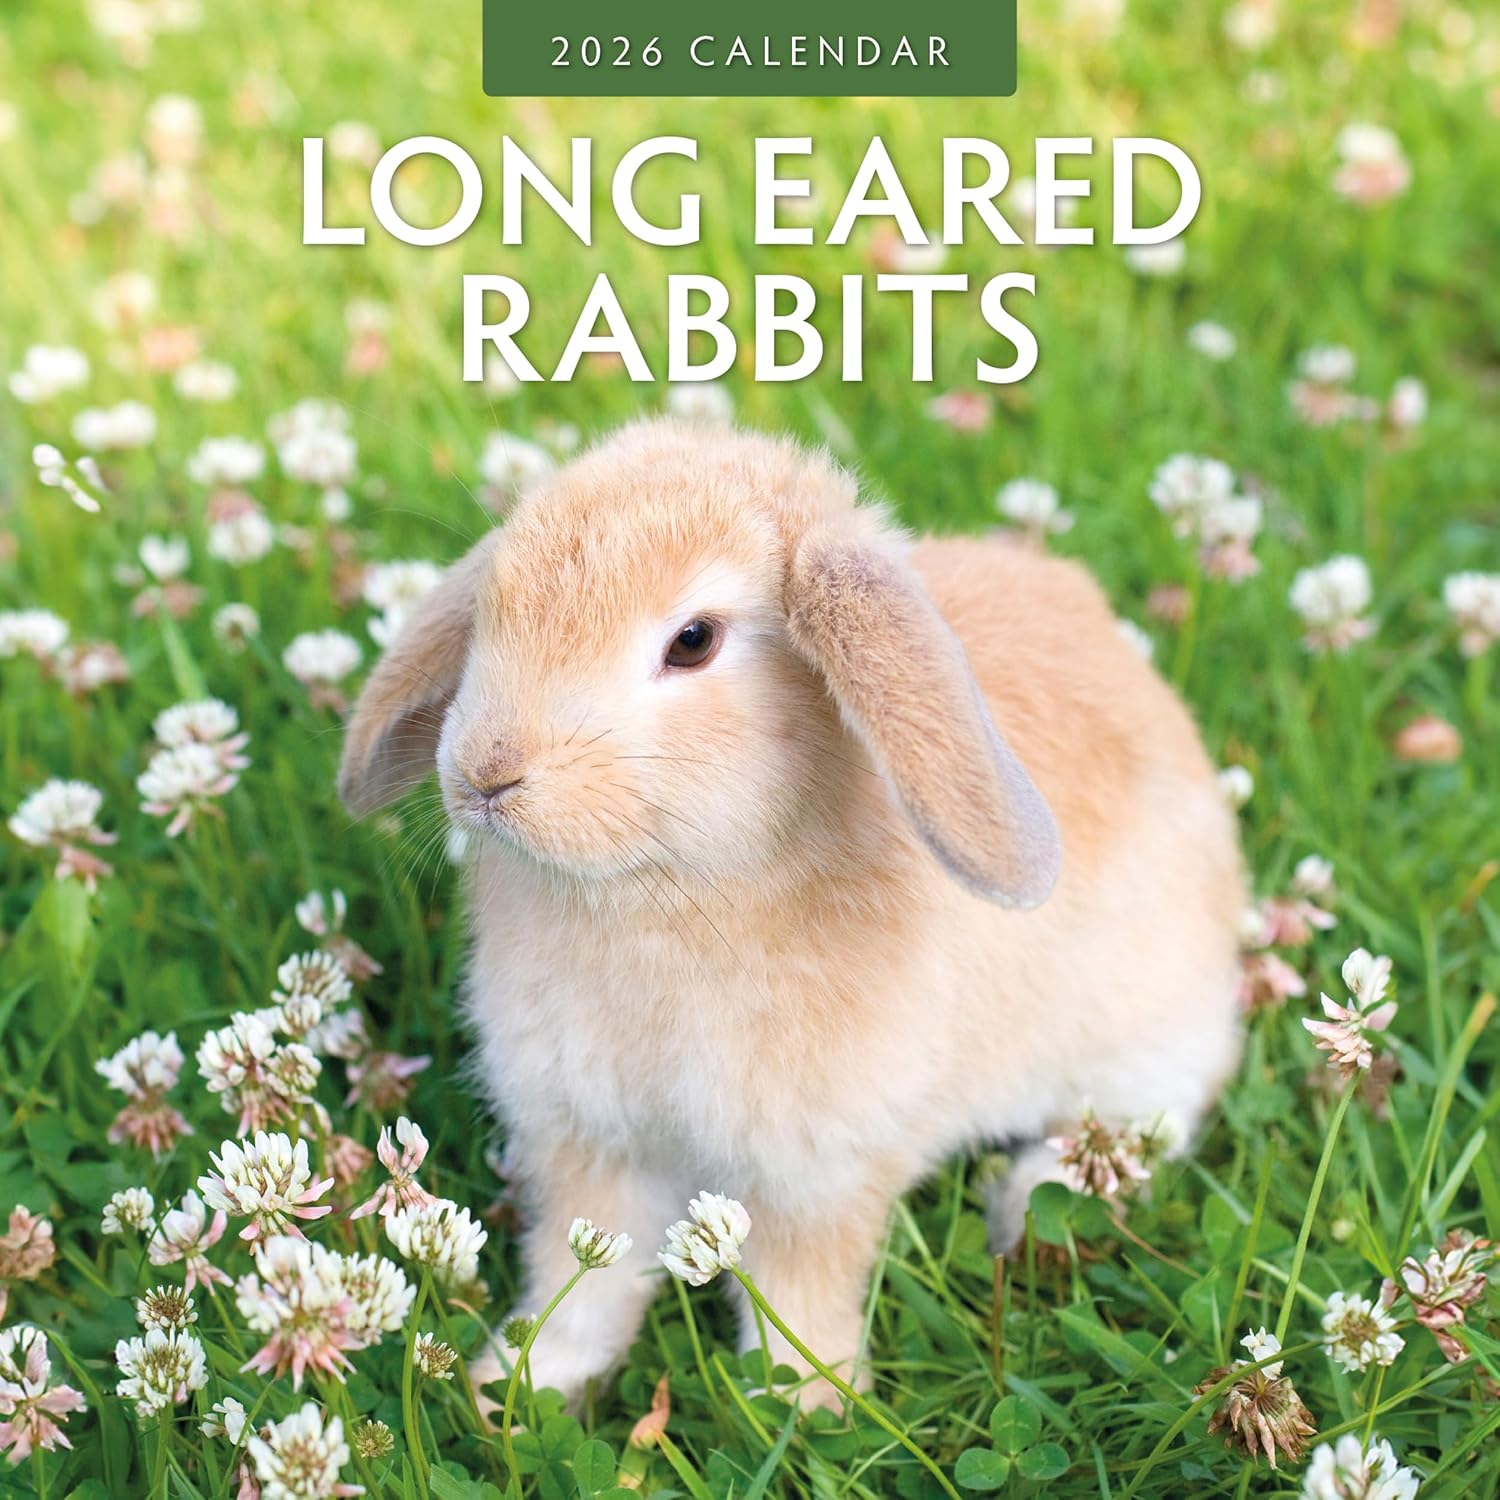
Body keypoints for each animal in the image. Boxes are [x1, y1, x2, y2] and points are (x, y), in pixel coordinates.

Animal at [337, 418, 1245, 1410]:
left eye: (693, 641)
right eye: (491, 606)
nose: (487, 771)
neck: (665, 891)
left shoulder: (817, 1173)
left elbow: (798, 1295)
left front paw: (813, 1406)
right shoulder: (591, 1145)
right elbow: (582, 1279)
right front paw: (523, 1386)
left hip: (1142, 1046)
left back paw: (1030, 1211)